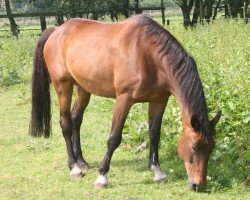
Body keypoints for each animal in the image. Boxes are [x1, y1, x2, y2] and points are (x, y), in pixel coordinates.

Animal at [29, 14, 221, 191]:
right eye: (195, 146)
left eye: (211, 147)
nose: (198, 185)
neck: (148, 54)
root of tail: (56, 31)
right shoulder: (124, 99)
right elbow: (114, 138)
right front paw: (102, 177)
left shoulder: (159, 100)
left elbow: (154, 135)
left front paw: (158, 172)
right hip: (63, 86)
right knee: (66, 124)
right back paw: (74, 168)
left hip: (83, 88)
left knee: (76, 119)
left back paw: (81, 161)